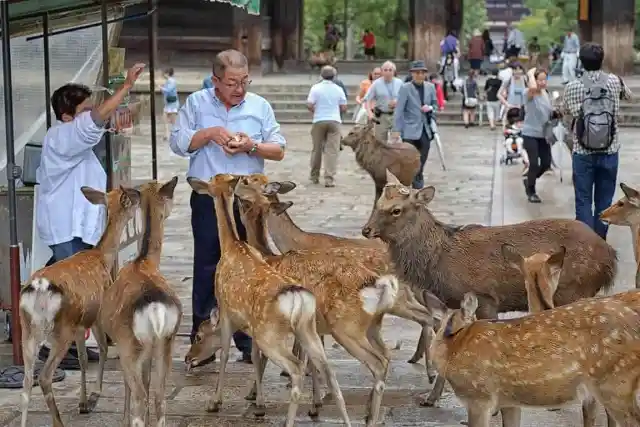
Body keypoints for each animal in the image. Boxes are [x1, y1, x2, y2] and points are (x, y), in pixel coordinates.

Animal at [19, 186, 141, 427]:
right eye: (132, 198)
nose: (140, 195)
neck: (103, 257)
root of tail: (38, 287)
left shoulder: (80, 324)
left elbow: (84, 359)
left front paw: (83, 402)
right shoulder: (98, 315)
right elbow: (102, 350)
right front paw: (93, 397)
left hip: (28, 330)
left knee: (27, 382)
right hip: (61, 329)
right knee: (44, 377)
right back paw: (58, 422)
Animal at [99, 176, 181, 427]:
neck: (144, 261)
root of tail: (155, 310)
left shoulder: (122, 345)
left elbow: (128, 387)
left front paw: (123, 419)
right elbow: (148, 383)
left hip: (130, 345)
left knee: (139, 396)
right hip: (166, 342)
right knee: (159, 397)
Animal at [188, 175, 352, 427]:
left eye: (198, 336)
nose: (188, 358)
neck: (234, 247)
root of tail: (298, 298)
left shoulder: (227, 312)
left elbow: (227, 353)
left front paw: (219, 402)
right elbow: (256, 357)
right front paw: (256, 399)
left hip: (271, 334)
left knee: (298, 367)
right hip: (308, 328)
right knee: (326, 368)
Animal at [360, 171, 616, 408]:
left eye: (396, 210)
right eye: (378, 203)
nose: (366, 230)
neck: (441, 261)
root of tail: (610, 258)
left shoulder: (486, 298)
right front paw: (430, 398)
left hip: (575, 290)